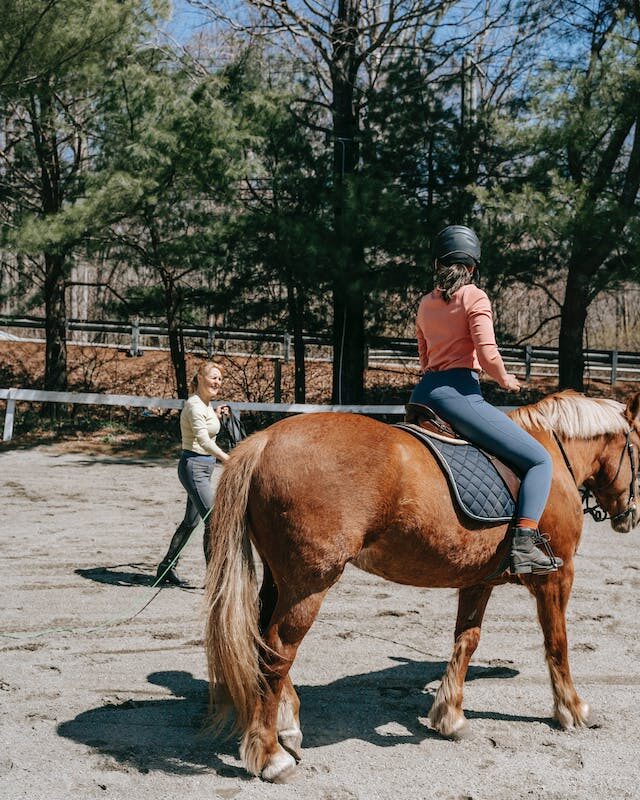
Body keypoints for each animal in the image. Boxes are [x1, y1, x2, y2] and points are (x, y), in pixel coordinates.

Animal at [206, 392, 640, 780]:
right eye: (637, 447)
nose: (630, 516)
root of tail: (264, 441)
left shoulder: (478, 580)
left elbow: (467, 640)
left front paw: (450, 716)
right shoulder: (556, 575)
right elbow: (557, 643)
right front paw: (573, 709)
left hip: (280, 579)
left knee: (264, 641)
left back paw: (286, 726)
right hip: (309, 583)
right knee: (277, 651)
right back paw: (270, 755)